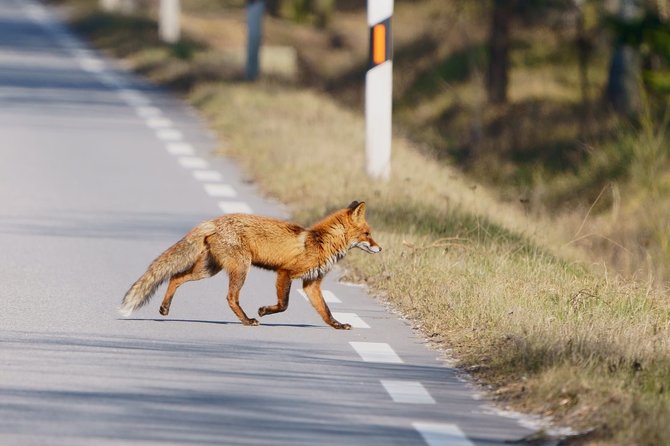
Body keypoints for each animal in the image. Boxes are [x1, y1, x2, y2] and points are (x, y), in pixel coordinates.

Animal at [121, 200, 384, 330]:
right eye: (368, 234)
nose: (380, 248)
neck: (320, 242)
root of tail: (214, 221)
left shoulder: (311, 283)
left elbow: (326, 311)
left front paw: (338, 325)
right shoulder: (286, 272)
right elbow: (284, 305)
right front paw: (264, 311)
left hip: (208, 270)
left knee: (175, 277)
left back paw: (165, 308)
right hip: (240, 268)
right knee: (230, 297)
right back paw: (247, 320)